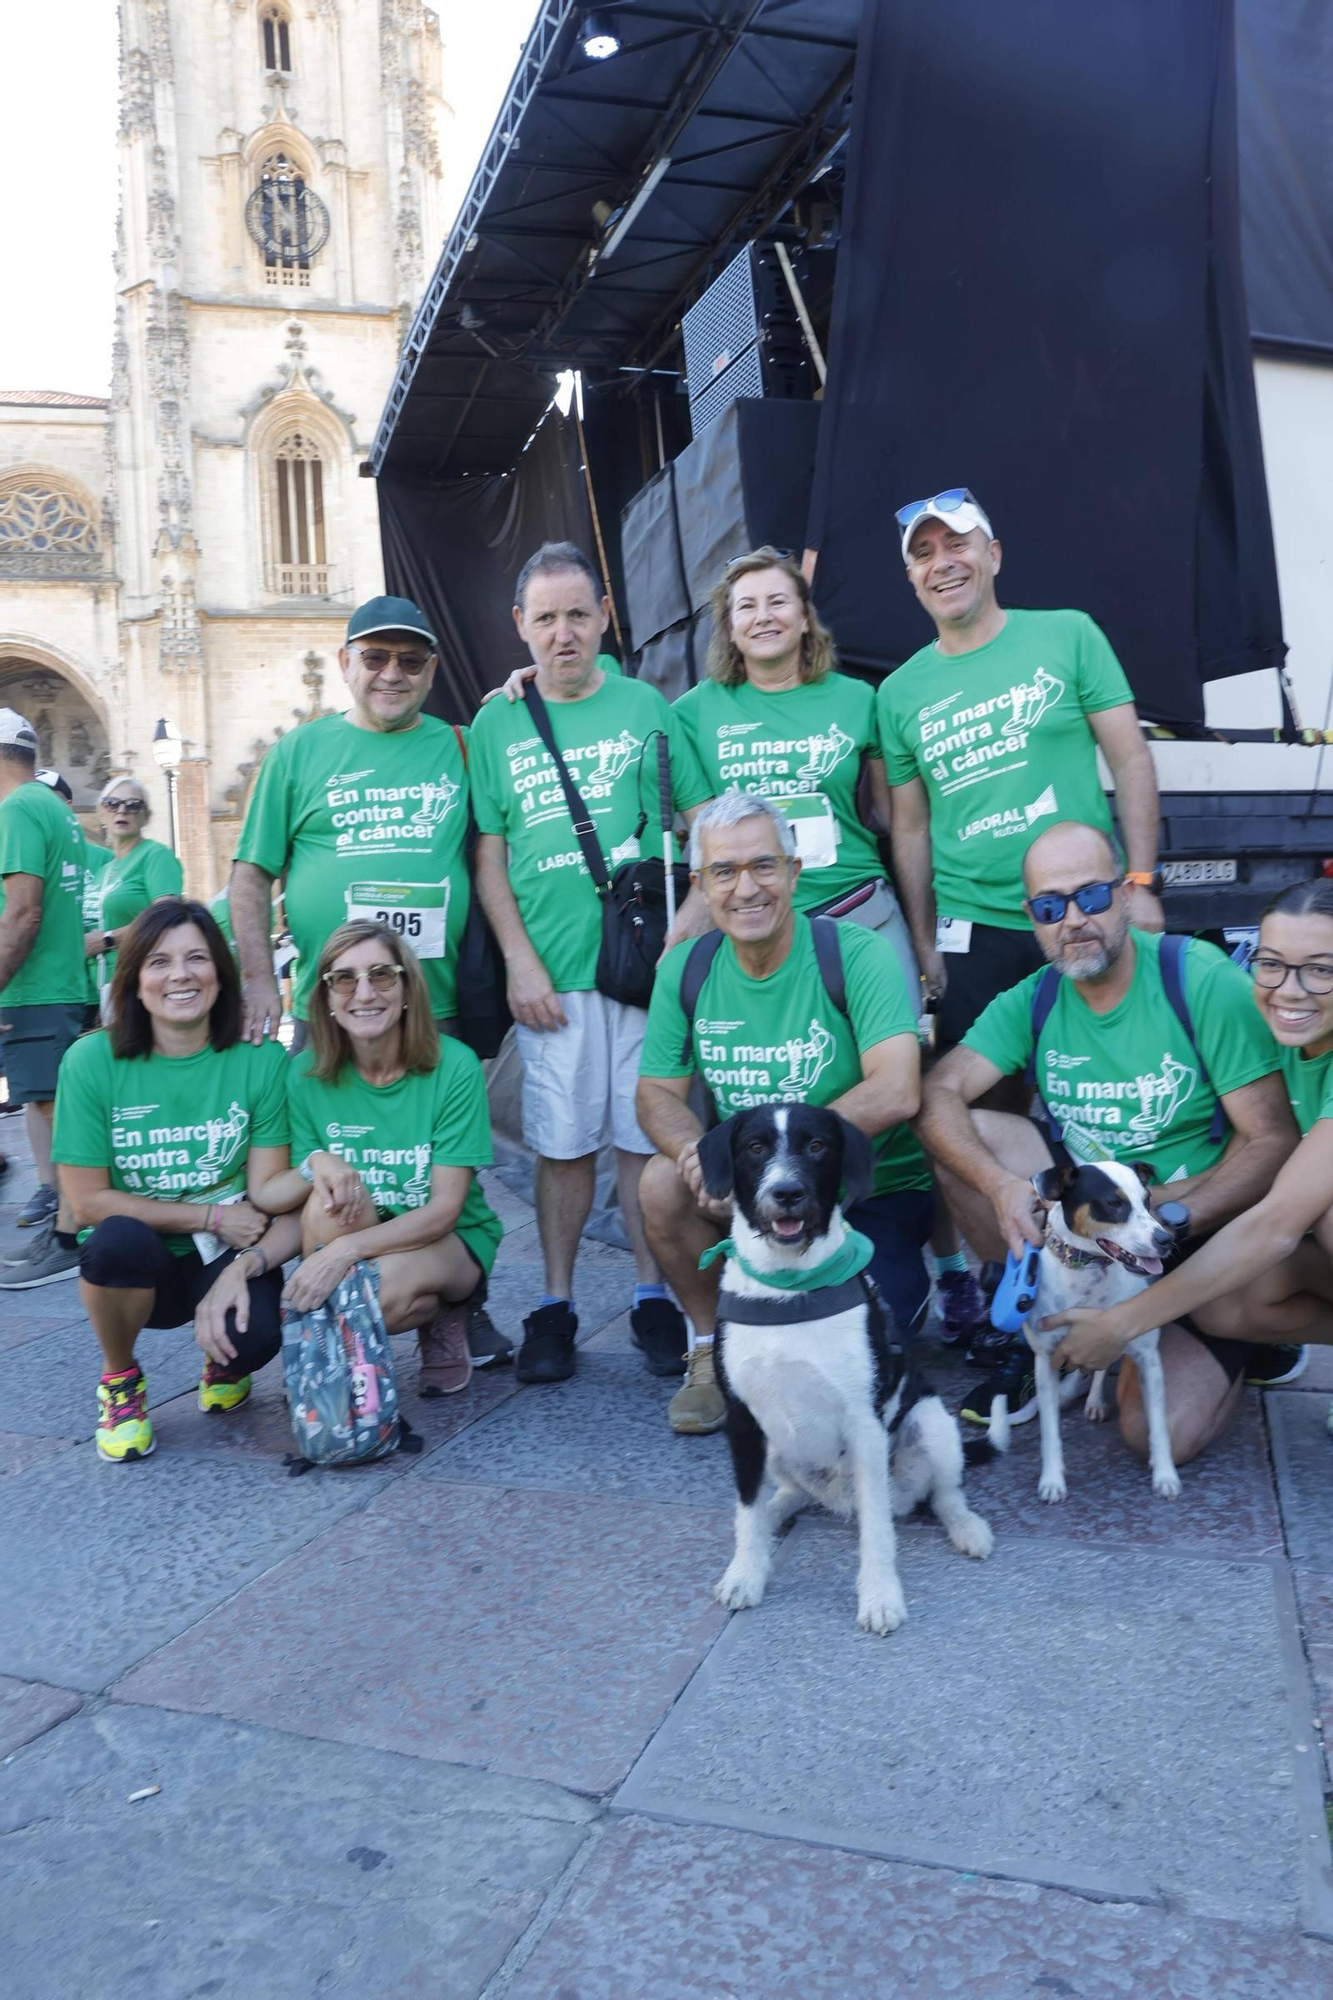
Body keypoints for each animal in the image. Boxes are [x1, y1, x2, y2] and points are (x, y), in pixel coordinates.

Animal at [700, 1104, 992, 1632]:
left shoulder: (864, 1426)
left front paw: (879, 1596)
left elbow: (877, 1530)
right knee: (791, 1493)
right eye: (754, 1147)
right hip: (780, 1448)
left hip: (930, 1423)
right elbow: (746, 1511)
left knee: (944, 1494)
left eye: (817, 1146)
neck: (789, 1288)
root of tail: (838, 1499)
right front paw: (745, 1573)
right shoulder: (743, 1422)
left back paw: (968, 1528)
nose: (787, 1193)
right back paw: (778, 1510)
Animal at [984, 1160, 1176, 1504]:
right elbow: (1049, 1432)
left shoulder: (1147, 1357)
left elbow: (1157, 1424)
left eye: (1147, 1200)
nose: (1165, 1240)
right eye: (1113, 1203)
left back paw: (1096, 1400)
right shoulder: (1046, 1362)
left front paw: (1165, 1474)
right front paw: (1051, 1480)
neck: (1089, 1272)